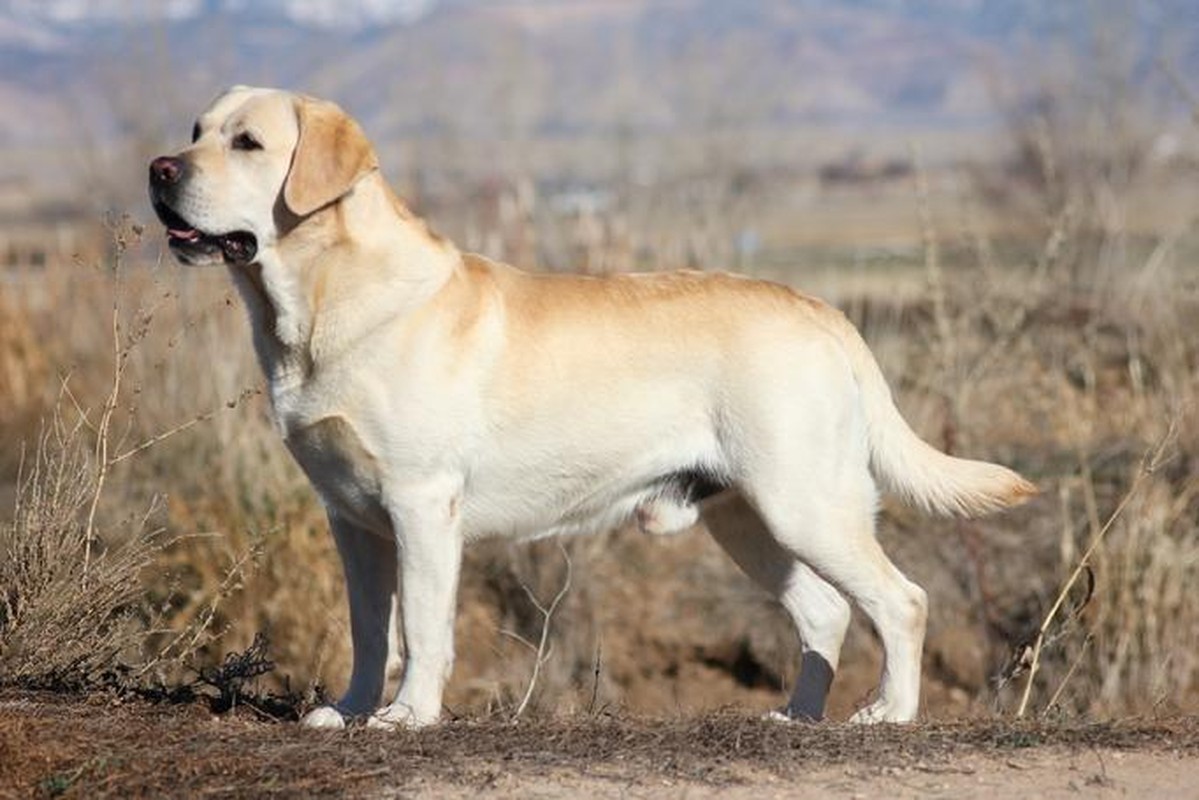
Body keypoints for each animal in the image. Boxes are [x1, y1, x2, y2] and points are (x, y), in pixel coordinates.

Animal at [147, 87, 1031, 734]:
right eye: (195, 130)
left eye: (247, 143)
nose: (158, 169)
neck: (324, 301)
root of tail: (822, 310)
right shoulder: (353, 519)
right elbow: (370, 630)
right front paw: (351, 710)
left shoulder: (421, 503)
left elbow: (424, 629)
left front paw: (409, 716)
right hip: (747, 518)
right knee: (824, 613)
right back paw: (795, 717)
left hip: (802, 501)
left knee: (900, 600)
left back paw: (888, 714)